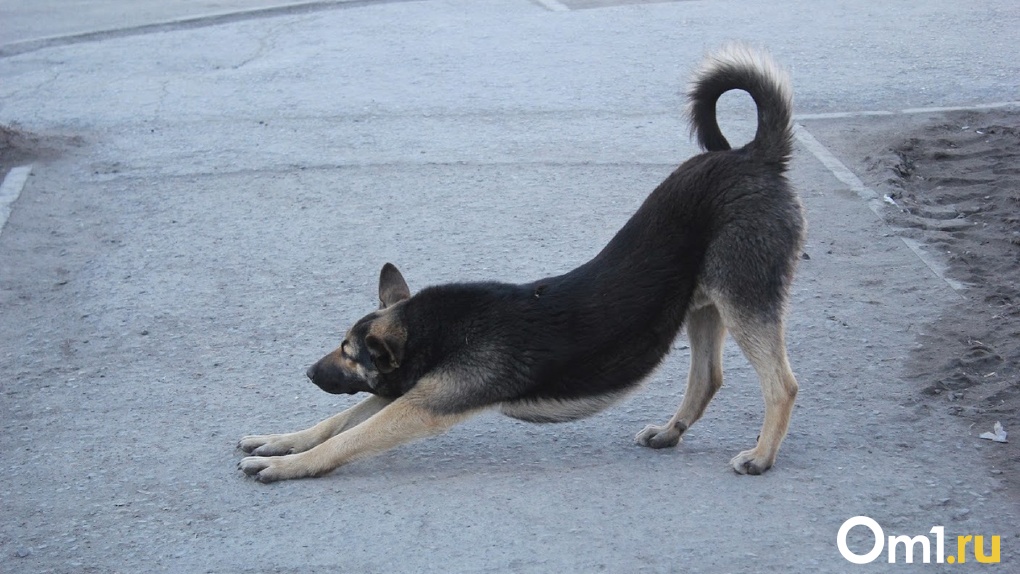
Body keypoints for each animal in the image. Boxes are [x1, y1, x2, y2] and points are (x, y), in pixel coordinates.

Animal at [236, 44, 803, 483]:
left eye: (348, 352)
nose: (309, 372)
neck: (437, 329)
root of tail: (753, 155)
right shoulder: (406, 389)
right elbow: (335, 422)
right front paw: (279, 441)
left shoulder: (422, 404)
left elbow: (346, 439)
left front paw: (288, 466)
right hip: (705, 304)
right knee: (707, 378)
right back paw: (669, 432)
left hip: (743, 297)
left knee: (782, 385)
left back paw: (761, 456)